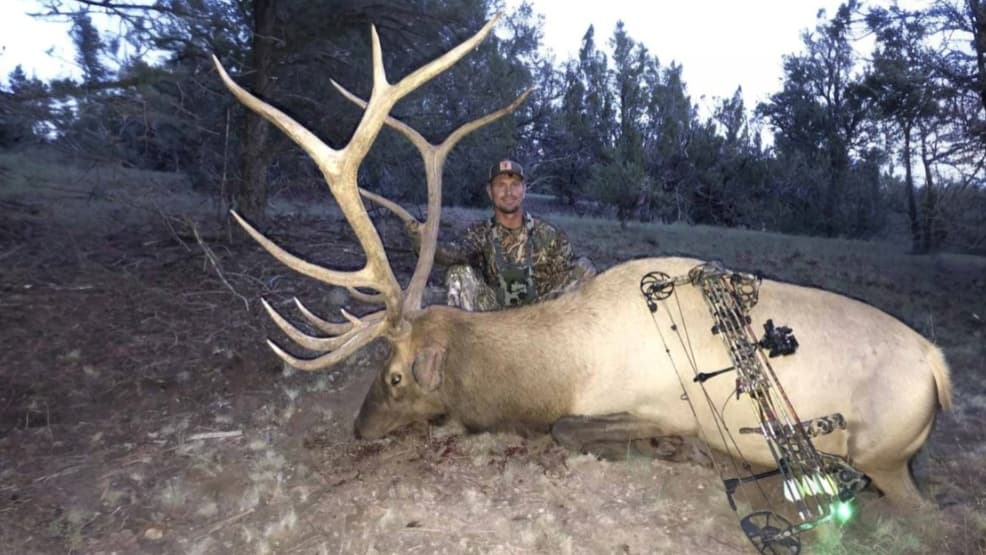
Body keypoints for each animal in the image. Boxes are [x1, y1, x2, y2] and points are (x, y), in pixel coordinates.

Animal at [212, 15, 952, 509]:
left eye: (395, 376)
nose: (358, 427)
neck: (565, 365)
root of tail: (938, 367)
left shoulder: (663, 407)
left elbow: (569, 429)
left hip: (880, 453)